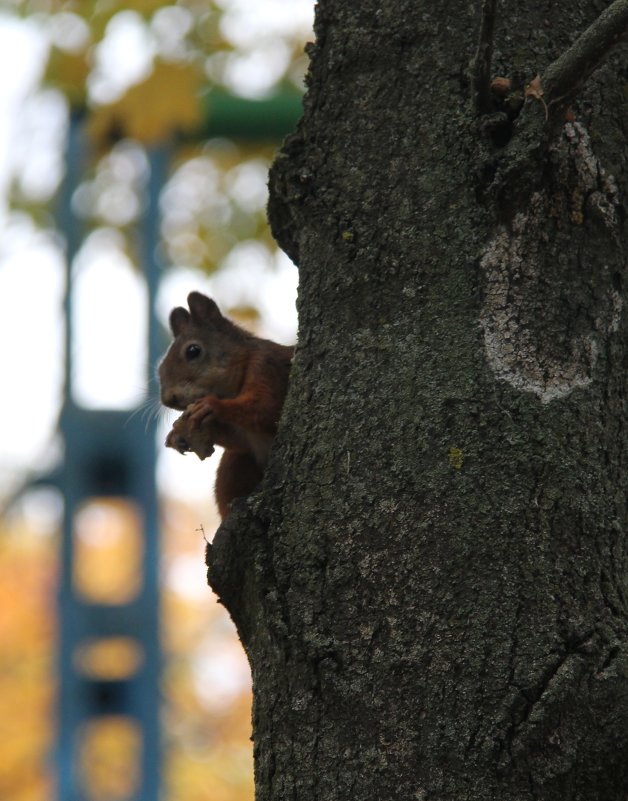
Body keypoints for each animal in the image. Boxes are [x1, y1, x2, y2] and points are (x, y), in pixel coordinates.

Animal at [157, 292, 294, 520]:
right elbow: (240, 441)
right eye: (160, 367)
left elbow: (267, 409)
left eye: (193, 351)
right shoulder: (243, 436)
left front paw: (212, 406)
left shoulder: (267, 367)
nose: (168, 399)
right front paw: (177, 436)